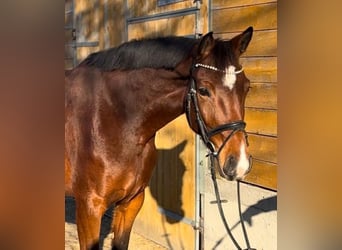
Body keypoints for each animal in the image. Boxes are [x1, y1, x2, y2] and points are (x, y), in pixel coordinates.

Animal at [65, 26, 254, 249]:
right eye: (203, 90)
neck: (112, 116)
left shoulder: (131, 201)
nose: (239, 164)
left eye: (247, 87)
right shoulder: (89, 208)